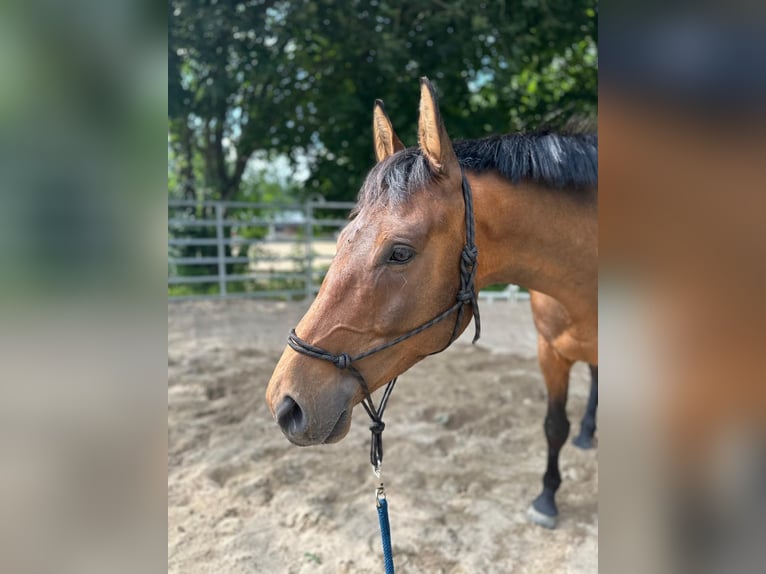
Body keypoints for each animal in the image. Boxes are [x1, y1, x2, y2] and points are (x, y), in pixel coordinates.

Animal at [265, 77, 597, 529]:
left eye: (400, 253)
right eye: (342, 238)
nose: (285, 403)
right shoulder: (551, 352)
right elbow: (554, 425)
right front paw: (547, 496)